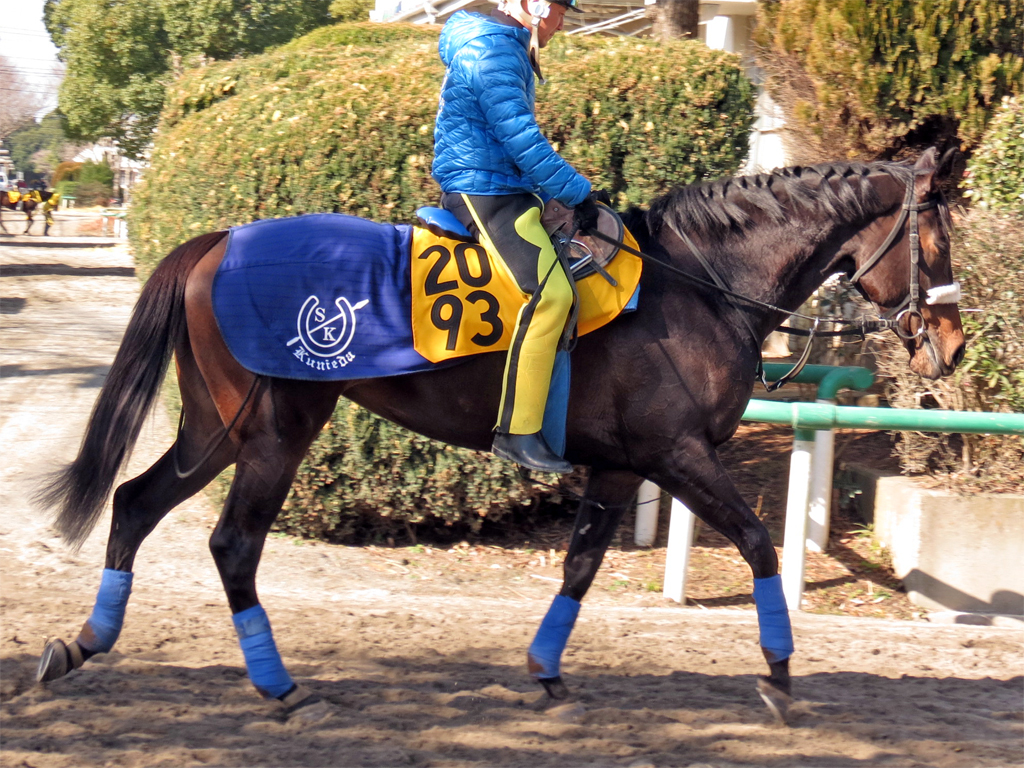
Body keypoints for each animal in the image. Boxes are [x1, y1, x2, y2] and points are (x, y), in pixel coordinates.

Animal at [34, 147, 958, 724]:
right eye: (938, 235)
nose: (949, 346)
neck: (698, 283)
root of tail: (215, 243)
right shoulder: (678, 455)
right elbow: (761, 543)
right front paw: (778, 673)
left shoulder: (621, 468)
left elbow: (580, 567)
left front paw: (546, 674)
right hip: (273, 431)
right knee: (232, 543)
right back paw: (280, 687)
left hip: (216, 428)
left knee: (136, 500)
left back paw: (84, 644)